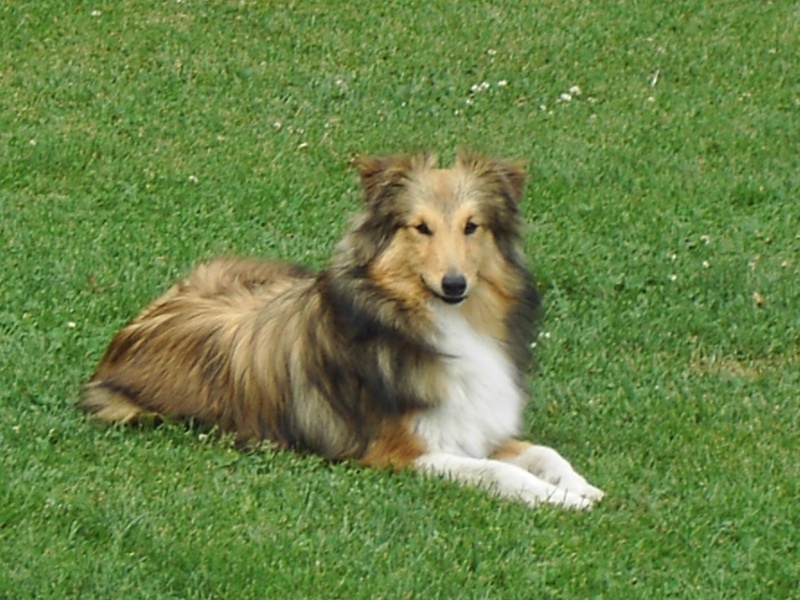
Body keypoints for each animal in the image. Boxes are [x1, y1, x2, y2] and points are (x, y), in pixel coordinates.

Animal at [80, 151, 604, 510]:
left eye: (472, 226)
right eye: (420, 228)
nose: (454, 284)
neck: (437, 323)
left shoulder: (480, 426)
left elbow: (546, 453)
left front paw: (583, 488)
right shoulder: (400, 453)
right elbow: (499, 474)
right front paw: (561, 501)